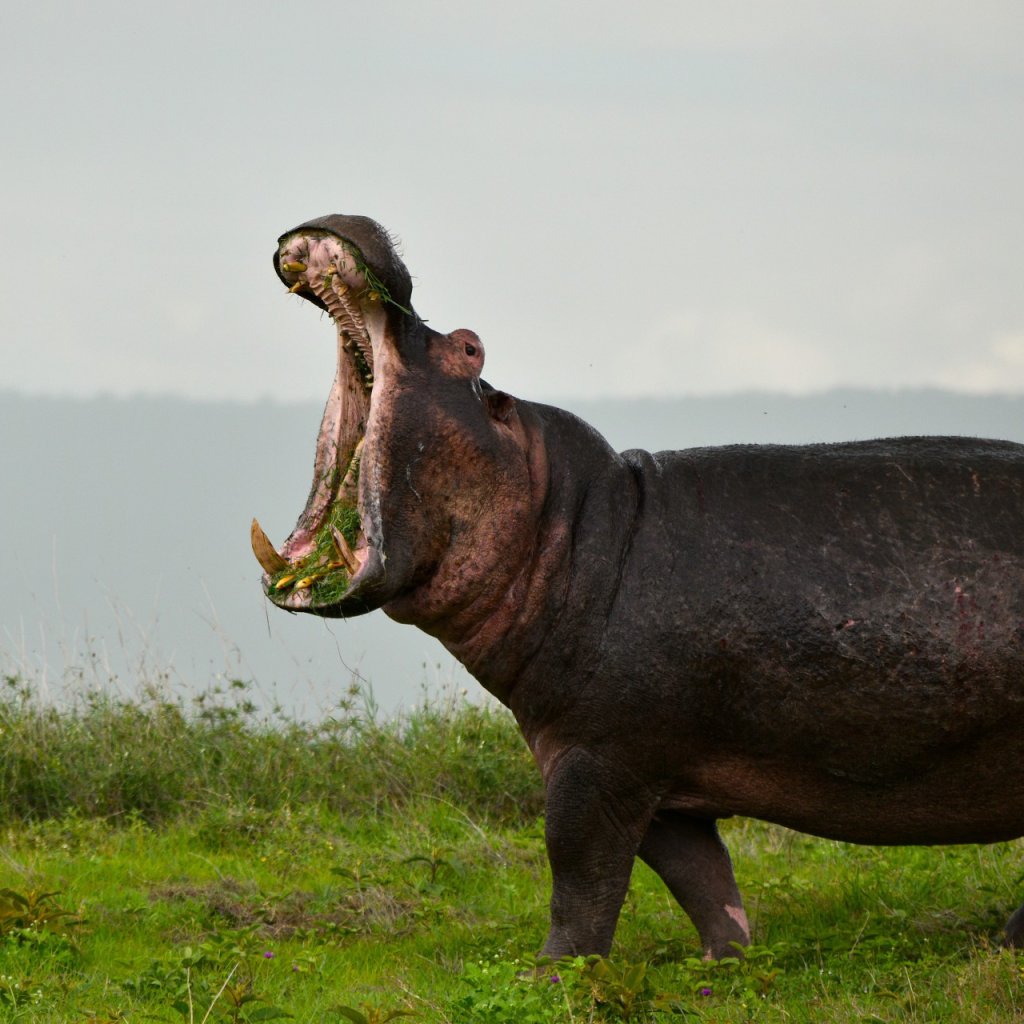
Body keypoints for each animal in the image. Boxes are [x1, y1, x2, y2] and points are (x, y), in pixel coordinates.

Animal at [249, 211, 1024, 954]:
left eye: (469, 347)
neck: (562, 526)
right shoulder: (655, 776)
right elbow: (700, 879)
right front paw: (728, 962)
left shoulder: (597, 759)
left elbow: (579, 875)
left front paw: (554, 973)